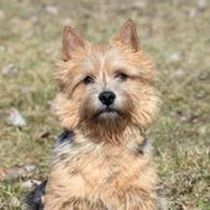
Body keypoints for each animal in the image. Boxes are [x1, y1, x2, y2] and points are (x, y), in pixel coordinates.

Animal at [26, 18, 161, 209]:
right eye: (87, 79)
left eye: (122, 75)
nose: (106, 96)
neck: (107, 137)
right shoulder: (66, 196)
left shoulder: (139, 194)